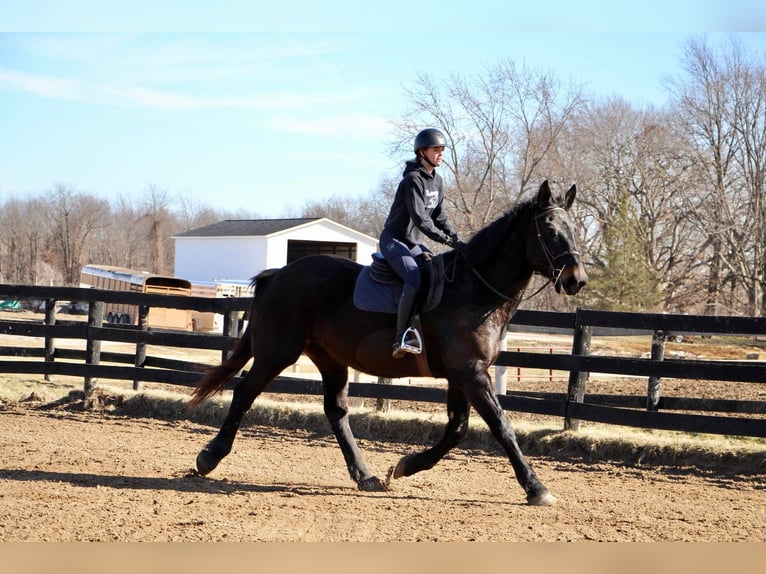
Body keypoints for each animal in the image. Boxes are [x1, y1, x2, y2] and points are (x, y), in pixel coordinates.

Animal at [190, 182, 588, 506]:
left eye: (574, 230)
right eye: (550, 229)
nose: (577, 280)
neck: (475, 290)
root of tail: (279, 274)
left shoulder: (462, 376)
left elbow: (457, 430)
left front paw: (406, 465)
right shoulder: (471, 374)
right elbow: (501, 427)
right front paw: (536, 488)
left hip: (330, 358)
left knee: (336, 412)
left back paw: (365, 475)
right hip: (277, 352)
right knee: (245, 392)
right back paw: (209, 457)